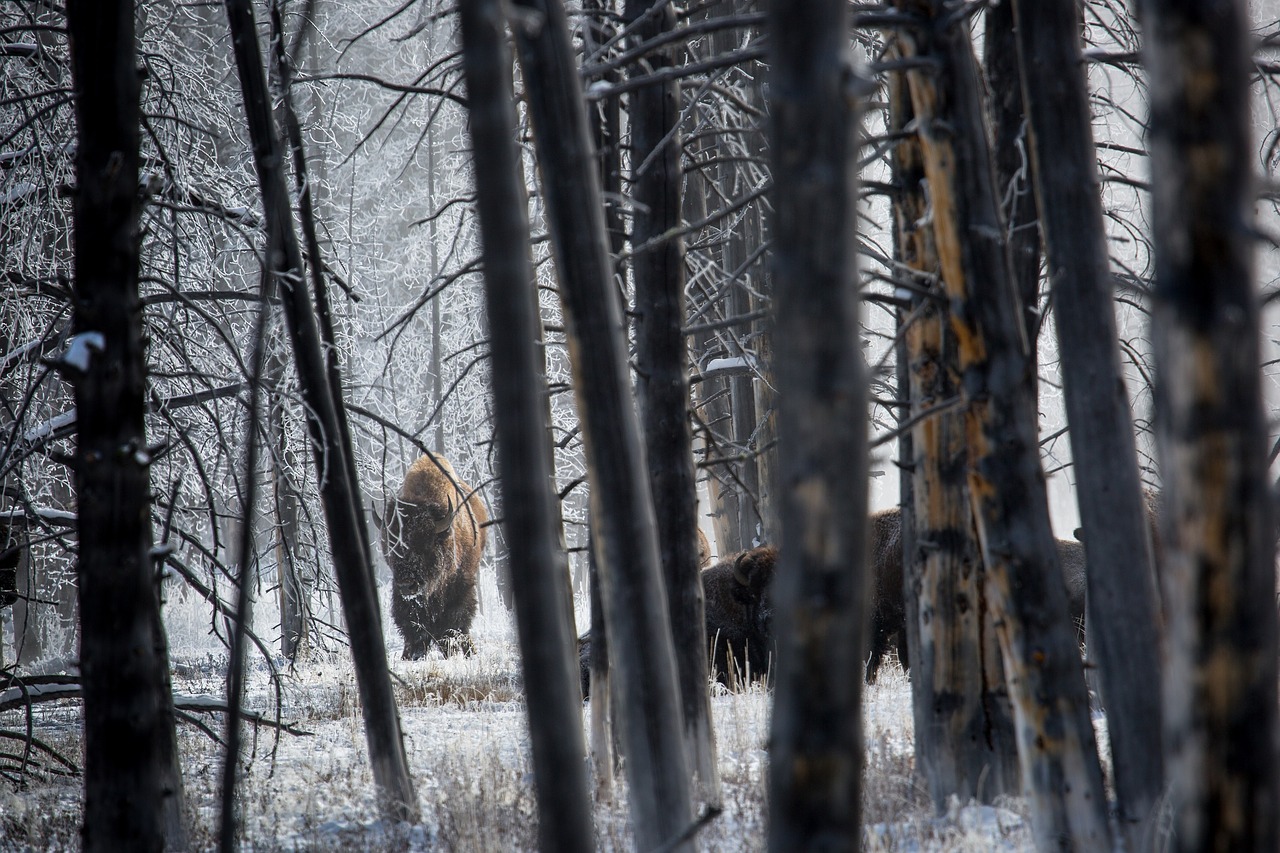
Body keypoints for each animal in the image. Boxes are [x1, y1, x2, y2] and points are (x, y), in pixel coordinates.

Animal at [378, 450, 483, 655]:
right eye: (391, 547)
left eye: (425, 543)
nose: (407, 586)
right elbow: (413, 627)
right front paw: (411, 654)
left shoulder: (461, 589)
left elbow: (453, 624)